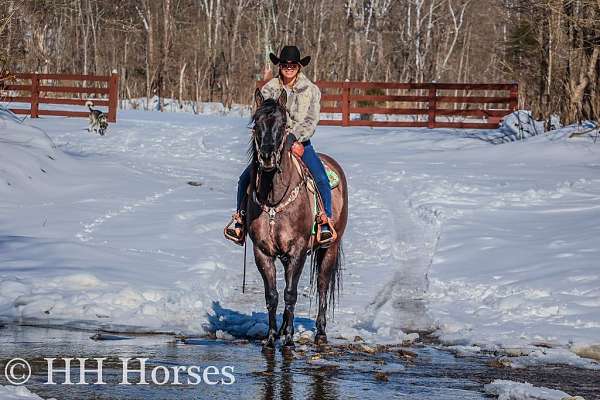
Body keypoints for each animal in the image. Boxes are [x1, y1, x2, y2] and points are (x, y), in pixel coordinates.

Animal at [243, 86, 346, 346]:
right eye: (257, 123)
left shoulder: (298, 250)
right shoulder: (263, 251)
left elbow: (290, 293)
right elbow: (272, 295)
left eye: (283, 125)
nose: (267, 157)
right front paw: (271, 337)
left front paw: (288, 338)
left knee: (322, 285)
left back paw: (320, 333)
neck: (273, 199)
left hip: (329, 247)